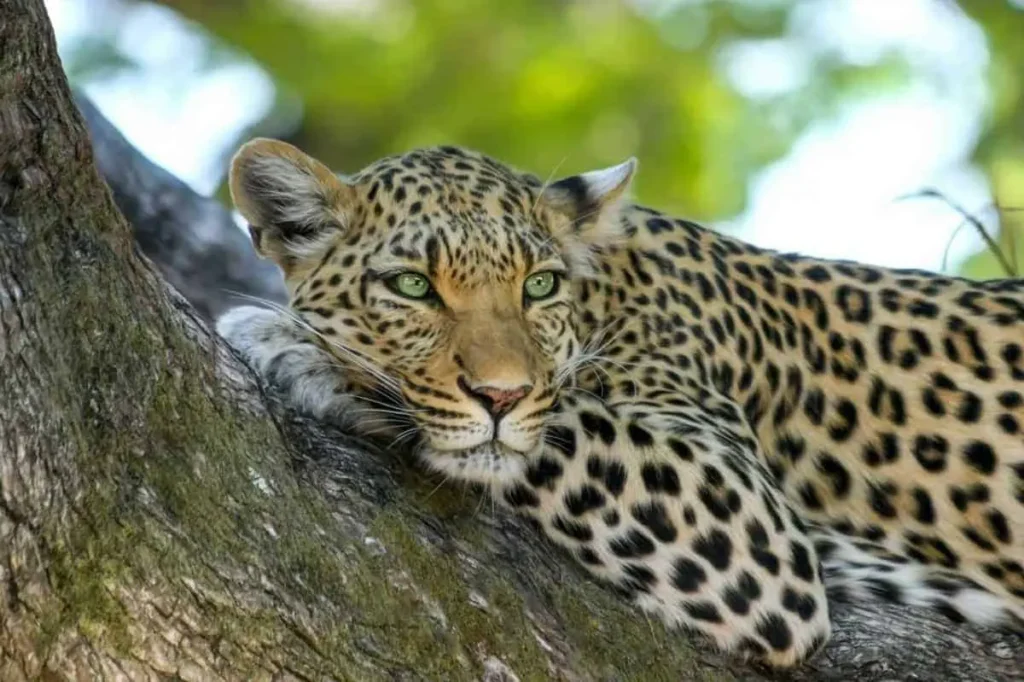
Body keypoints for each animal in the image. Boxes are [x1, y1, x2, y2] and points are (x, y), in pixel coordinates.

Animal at [218, 137, 1024, 663]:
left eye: (538, 285)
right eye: (413, 286)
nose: (501, 394)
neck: (607, 295)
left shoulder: (750, 521)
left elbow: (558, 425)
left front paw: (297, 346)